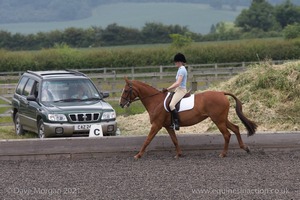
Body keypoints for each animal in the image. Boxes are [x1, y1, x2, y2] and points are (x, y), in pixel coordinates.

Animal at [119, 77, 258, 159]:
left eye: (125, 90)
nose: (121, 104)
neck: (156, 101)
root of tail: (221, 93)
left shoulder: (156, 125)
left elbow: (147, 140)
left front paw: (138, 155)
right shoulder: (168, 126)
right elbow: (174, 140)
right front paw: (179, 154)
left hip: (218, 120)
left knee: (227, 134)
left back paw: (223, 154)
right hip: (222, 119)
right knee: (236, 128)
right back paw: (245, 148)